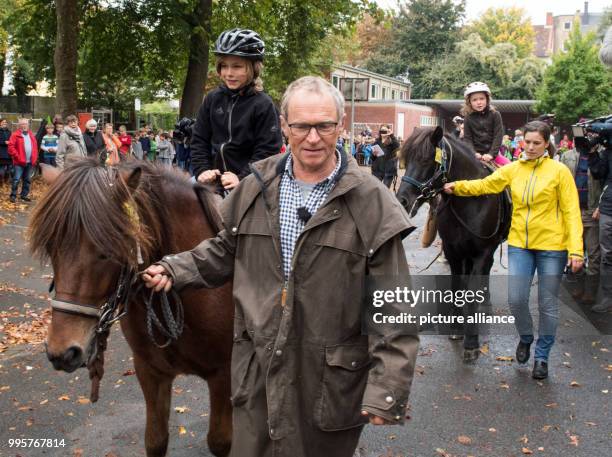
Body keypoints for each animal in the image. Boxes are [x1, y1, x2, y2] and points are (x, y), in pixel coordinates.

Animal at [28, 160, 234, 456]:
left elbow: (220, 440)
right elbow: (156, 440)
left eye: (107, 249)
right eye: (52, 245)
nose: (62, 351)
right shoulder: (150, 371)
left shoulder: (223, 374)